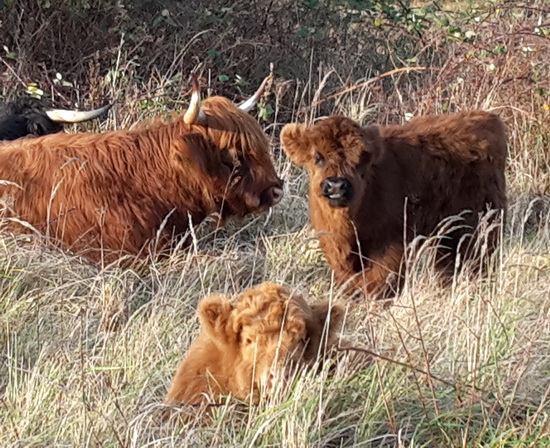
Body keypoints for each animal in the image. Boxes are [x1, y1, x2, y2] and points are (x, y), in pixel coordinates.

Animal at [282, 112, 512, 298]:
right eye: (317, 157)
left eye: (361, 160)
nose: (337, 185)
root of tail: (488, 119)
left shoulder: (391, 245)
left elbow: (380, 280)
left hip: (478, 223)